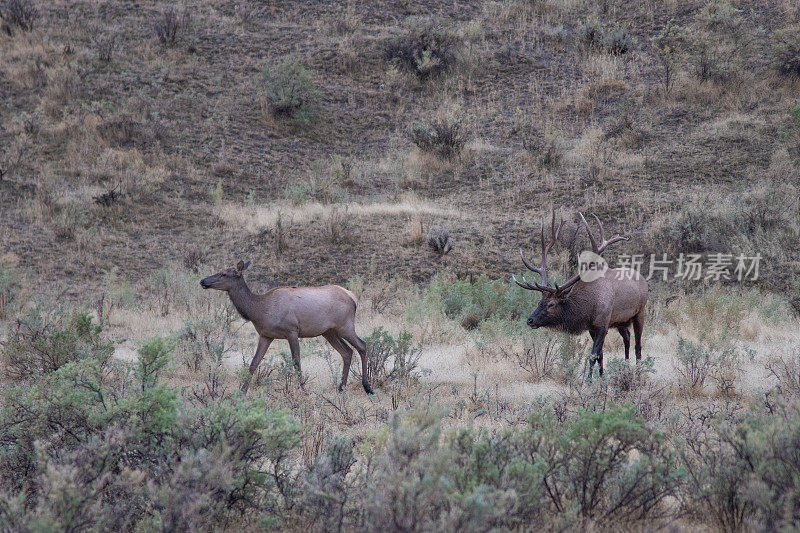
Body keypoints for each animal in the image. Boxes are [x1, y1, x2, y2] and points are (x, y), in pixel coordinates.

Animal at [200, 260, 376, 392]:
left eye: (224, 273)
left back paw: (367, 387)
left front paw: (303, 390)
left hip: (345, 326)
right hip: (329, 332)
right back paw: (341, 387)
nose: (203, 281)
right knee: (347, 352)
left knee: (362, 345)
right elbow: (254, 363)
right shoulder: (266, 335)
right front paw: (242, 391)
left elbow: (296, 361)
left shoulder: (292, 330)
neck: (259, 311)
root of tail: (353, 298)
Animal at [512, 210, 648, 376]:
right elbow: (600, 355)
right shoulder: (591, 327)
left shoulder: (603, 323)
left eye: (551, 304)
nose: (530, 320)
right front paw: (602, 377)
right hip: (621, 321)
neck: (588, 307)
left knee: (638, 345)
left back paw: (638, 372)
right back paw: (626, 367)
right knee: (627, 339)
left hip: (640, 312)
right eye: (539, 302)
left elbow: (593, 355)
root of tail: (643, 279)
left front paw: (588, 380)